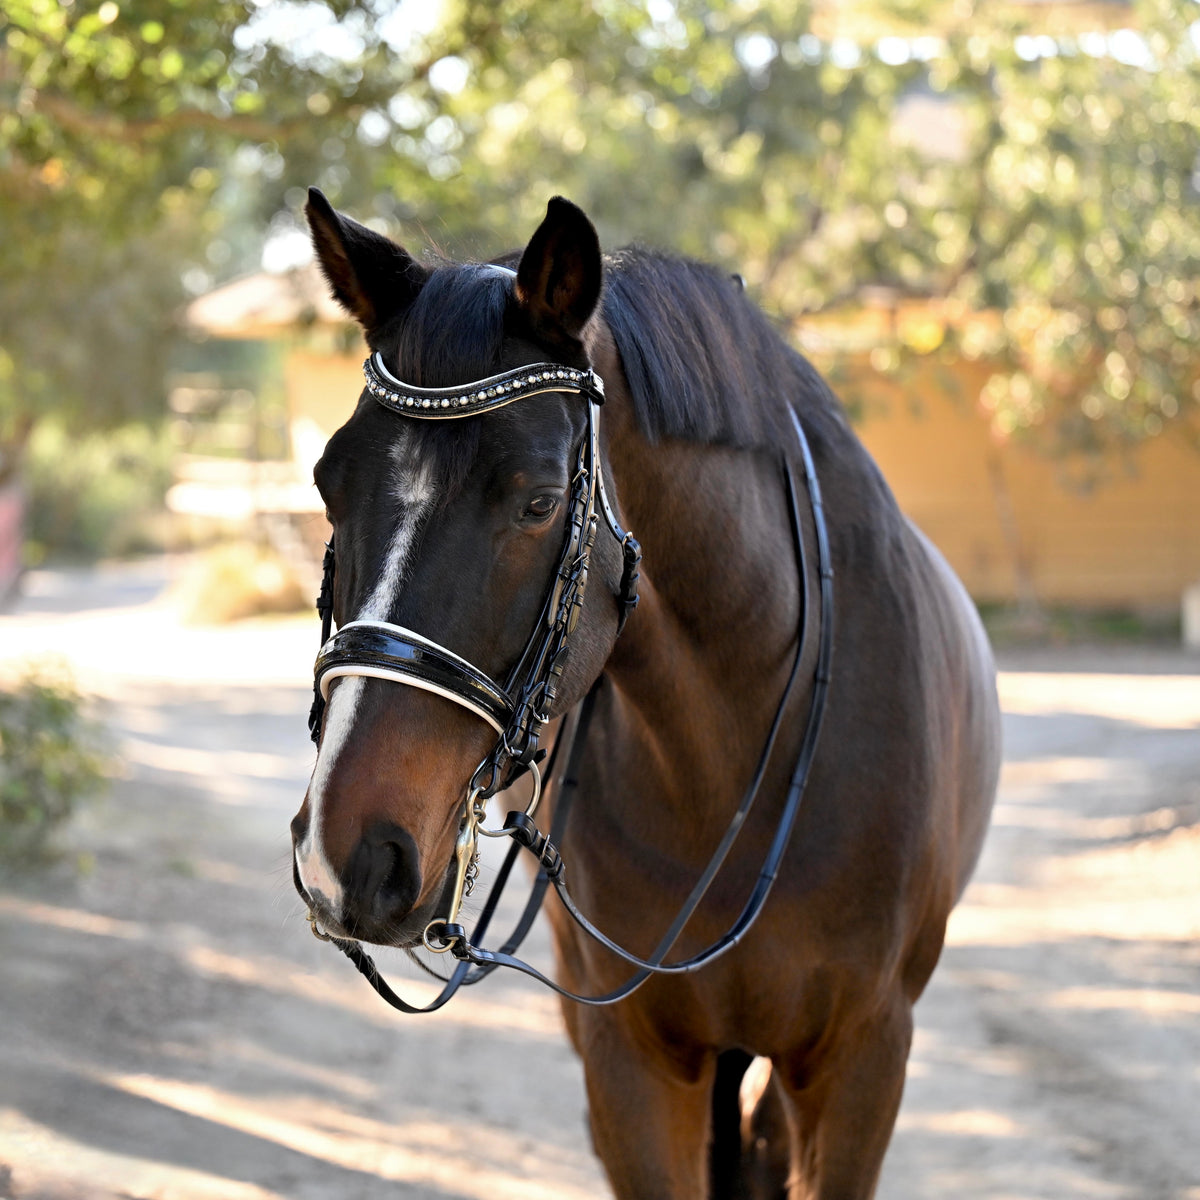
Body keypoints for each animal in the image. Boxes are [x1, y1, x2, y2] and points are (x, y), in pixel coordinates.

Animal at [290, 189, 1003, 1200]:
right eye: (328, 483)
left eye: (541, 501)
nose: (344, 856)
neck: (730, 751)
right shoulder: (627, 1059)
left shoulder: (862, 1059)